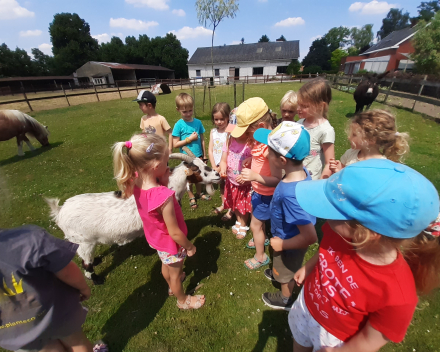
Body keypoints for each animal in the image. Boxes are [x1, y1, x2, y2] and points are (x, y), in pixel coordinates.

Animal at [45, 151, 220, 284]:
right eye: (197, 169)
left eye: (203, 163)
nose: (217, 174)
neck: (170, 186)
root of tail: (59, 211)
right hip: (84, 241)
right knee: (86, 264)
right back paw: (97, 279)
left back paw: (97, 261)